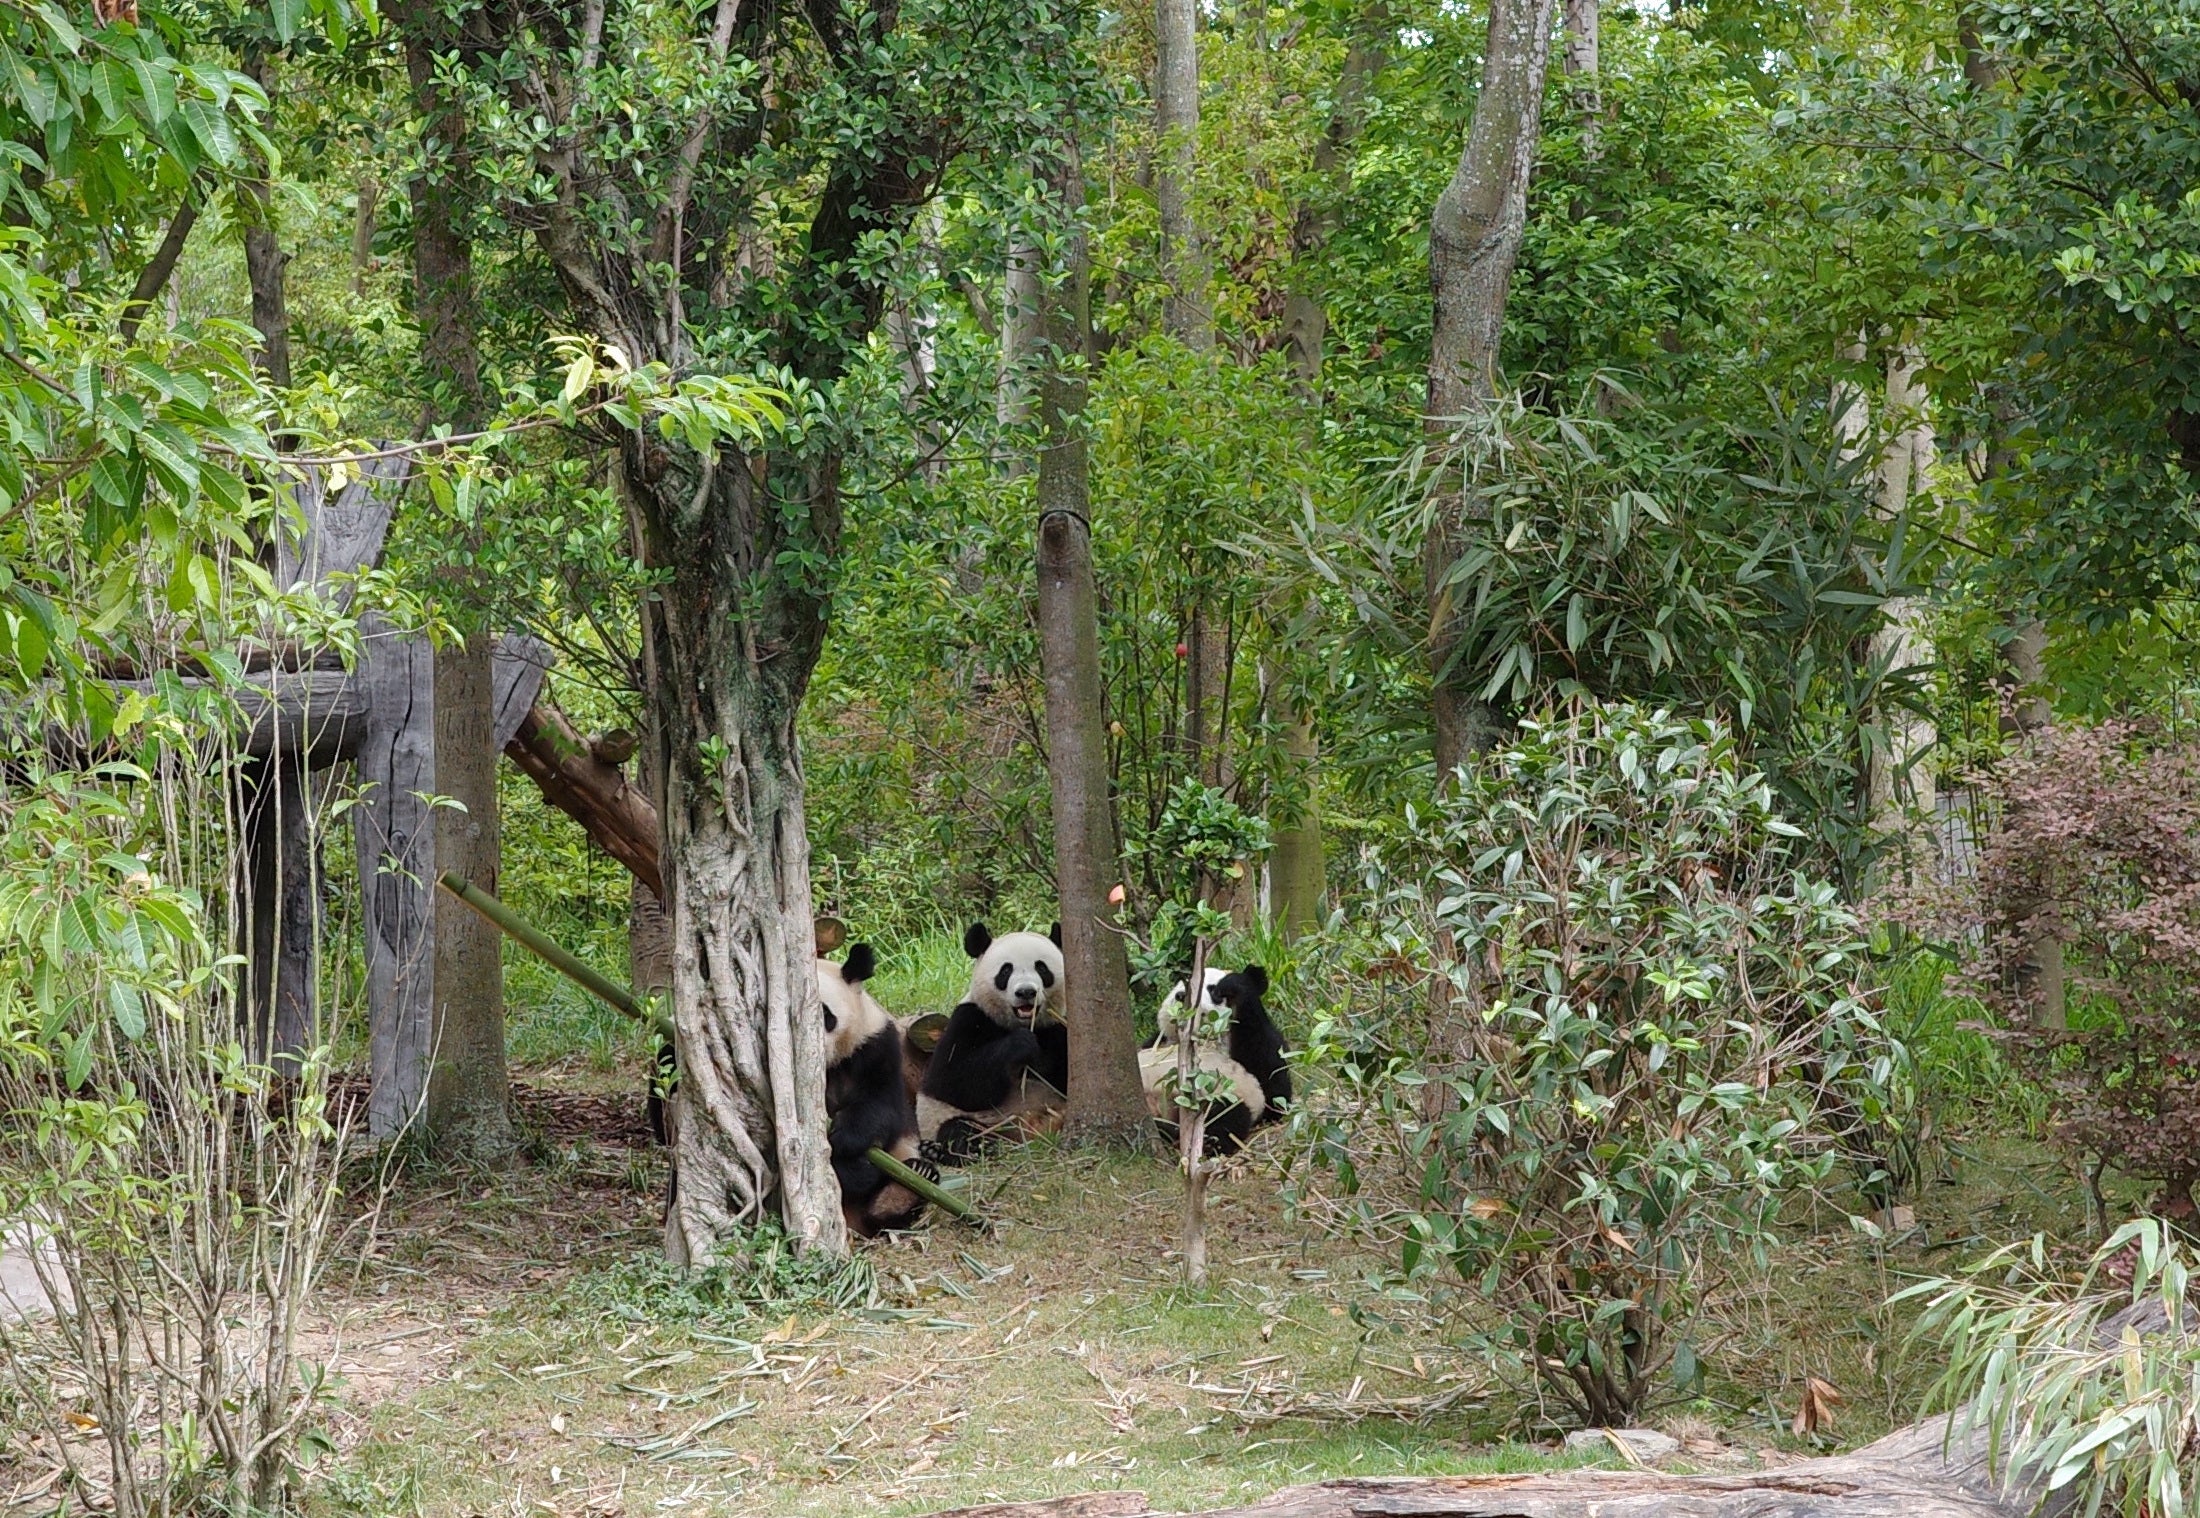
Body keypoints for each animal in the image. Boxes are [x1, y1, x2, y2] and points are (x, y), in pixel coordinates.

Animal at [820, 943, 934, 1237]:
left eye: (825, 1015)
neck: (831, 1064)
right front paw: (856, 1166)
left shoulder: (875, 1044)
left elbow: (881, 1104)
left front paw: (845, 1136)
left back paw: (907, 1188)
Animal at [916, 922, 1070, 1163]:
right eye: (1006, 970)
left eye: (1042, 968)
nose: (1026, 992)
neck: (1020, 1023)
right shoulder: (969, 1019)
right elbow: (951, 1081)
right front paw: (1021, 1044)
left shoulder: (1057, 1026)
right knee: (957, 1130)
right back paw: (973, 1147)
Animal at [1142, 963, 1290, 1156]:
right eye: (1183, 985)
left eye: (1213, 990)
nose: (1181, 996)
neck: (1199, 1039)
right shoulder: (1160, 1041)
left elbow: (1276, 1092)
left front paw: (1235, 985)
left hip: (1222, 1097)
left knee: (1229, 1114)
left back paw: (1206, 1140)